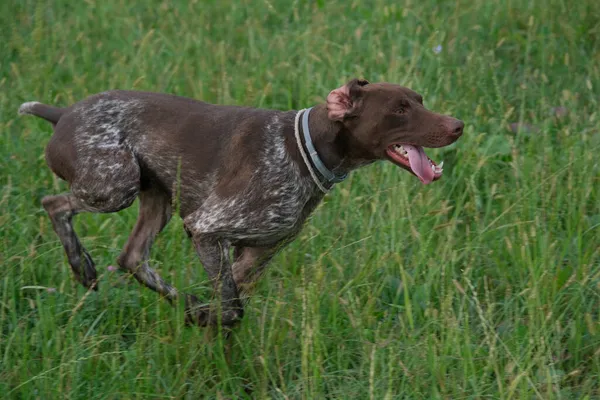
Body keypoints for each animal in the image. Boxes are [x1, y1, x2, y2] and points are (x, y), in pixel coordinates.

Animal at [18, 79, 464, 326]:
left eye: (419, 99)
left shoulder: (256, 253)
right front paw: (205, 317)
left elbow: (230, 300)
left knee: (131, 258)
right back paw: (82, 266)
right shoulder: (206, 228)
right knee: (54, 203)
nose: (458, 126)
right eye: (400, 109)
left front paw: (202, 315)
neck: (302, 148)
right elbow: (232, 309)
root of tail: (62, 113)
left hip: (155, 199)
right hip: (115, 185)